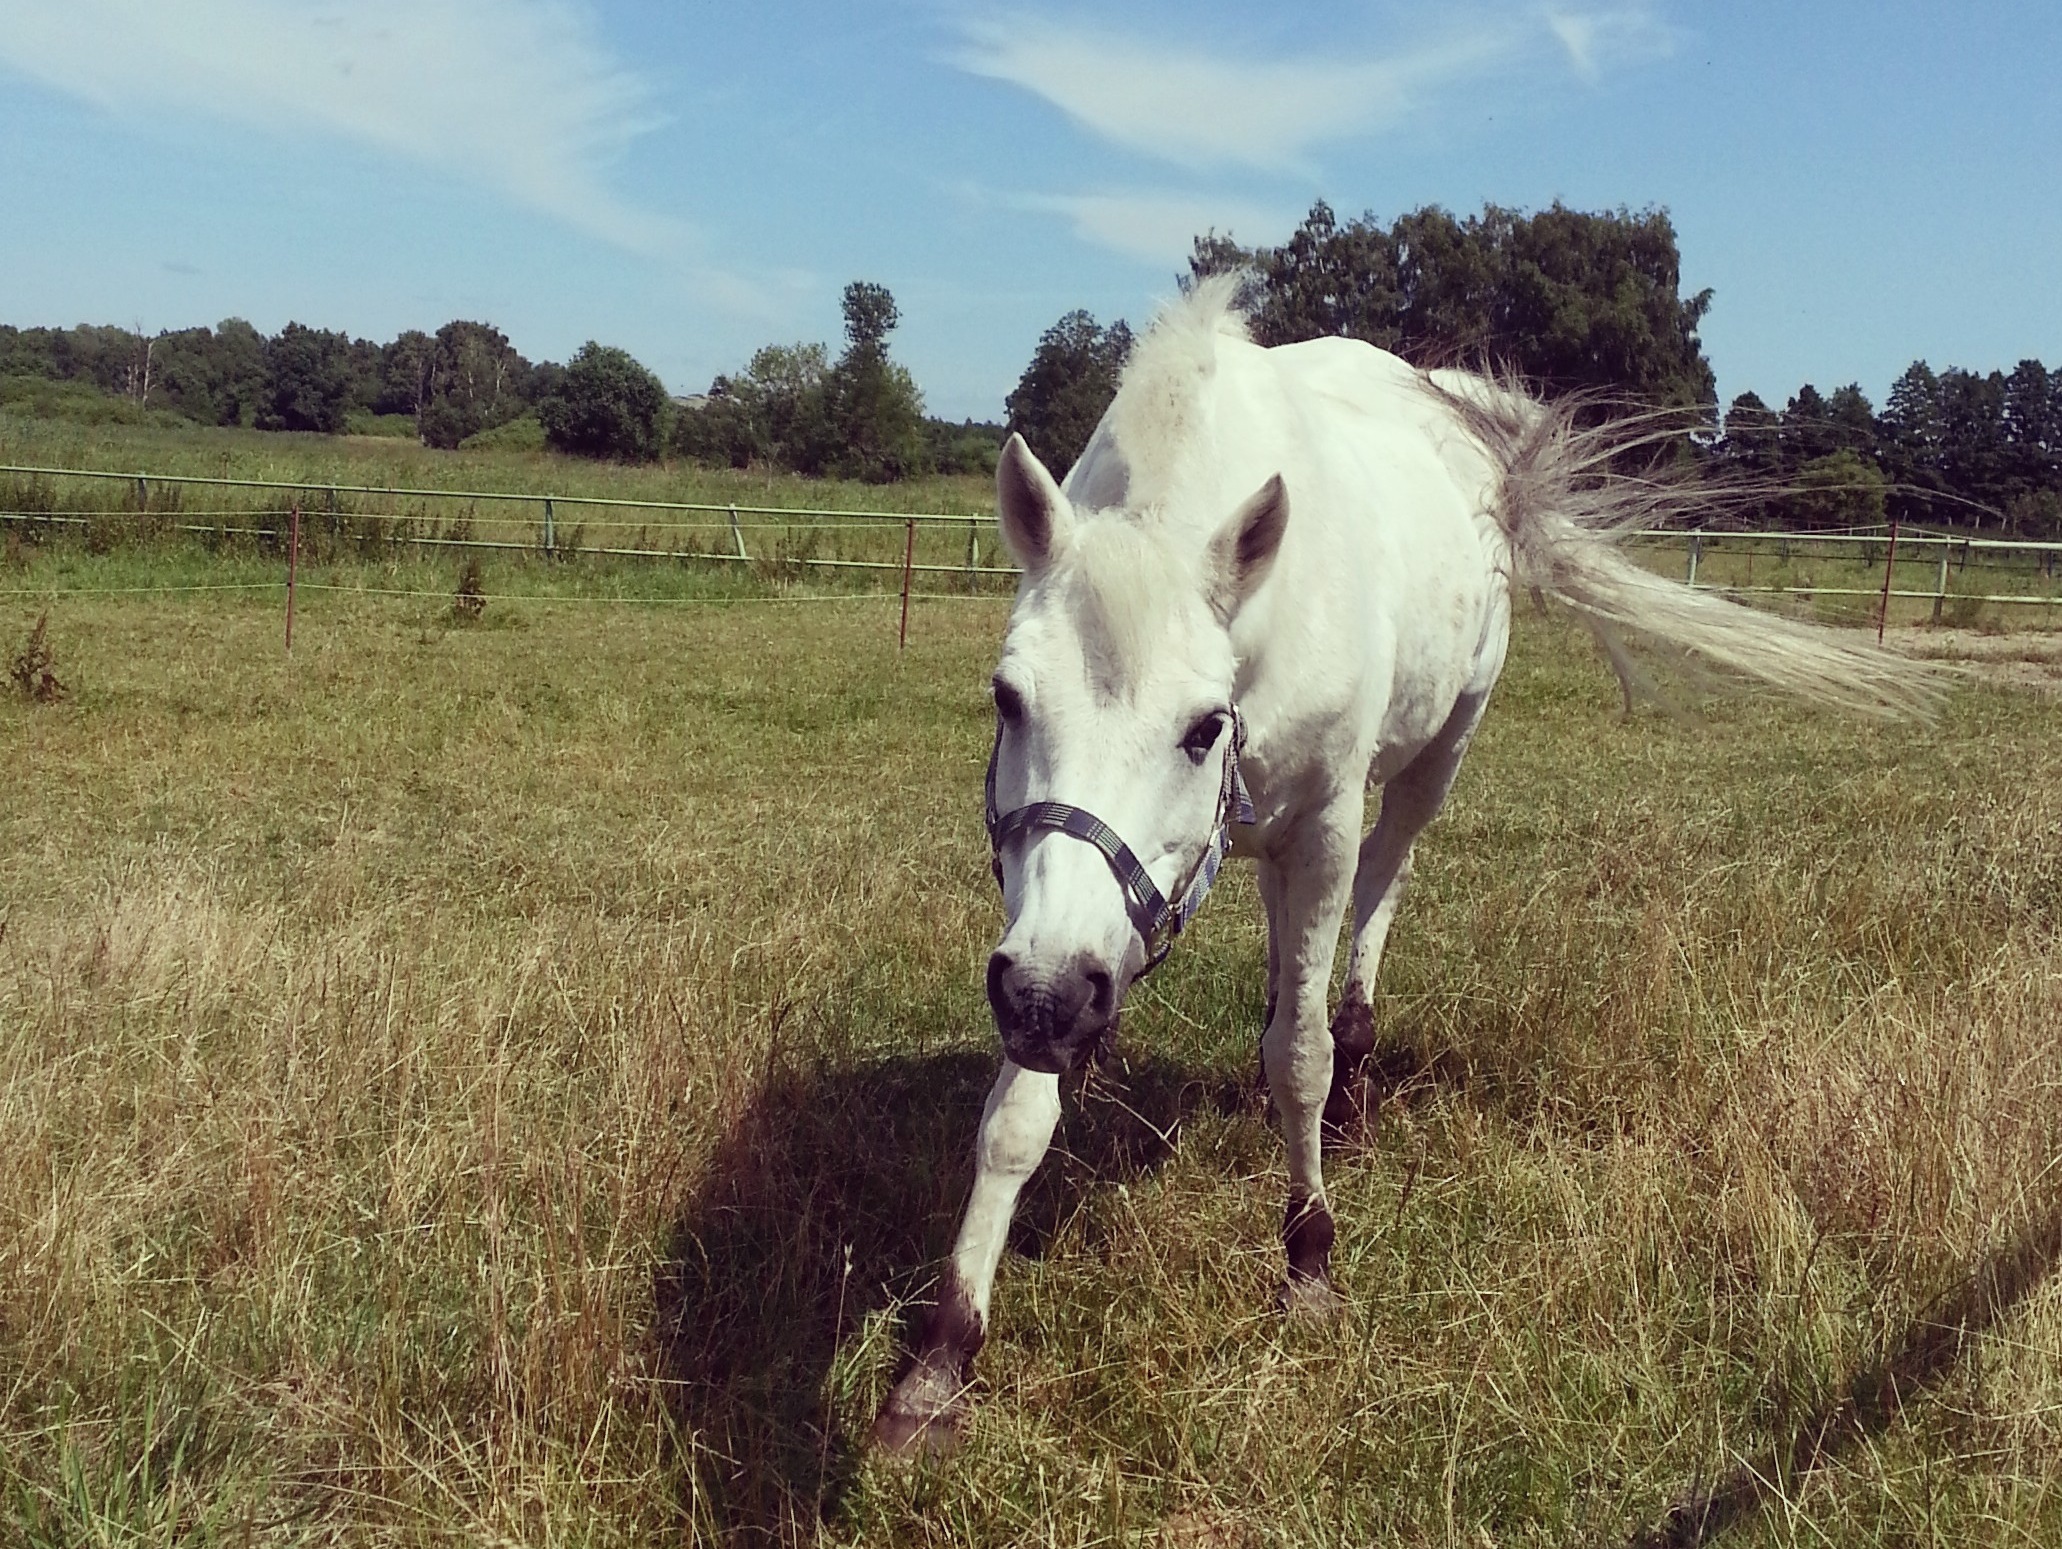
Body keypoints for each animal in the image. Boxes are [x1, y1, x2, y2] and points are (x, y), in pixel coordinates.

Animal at [870, 278, 1930, 1452]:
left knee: (1382, 885)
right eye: (1007, 698)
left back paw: (1357, 1063)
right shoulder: (1067, 926)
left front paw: (1309, 1257)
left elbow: (1301, 1053)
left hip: (1434, 755)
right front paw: (942, 1356)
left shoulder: (1321, 824)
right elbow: (1019, 1113)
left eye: (1201, 727)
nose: (1048, 995)